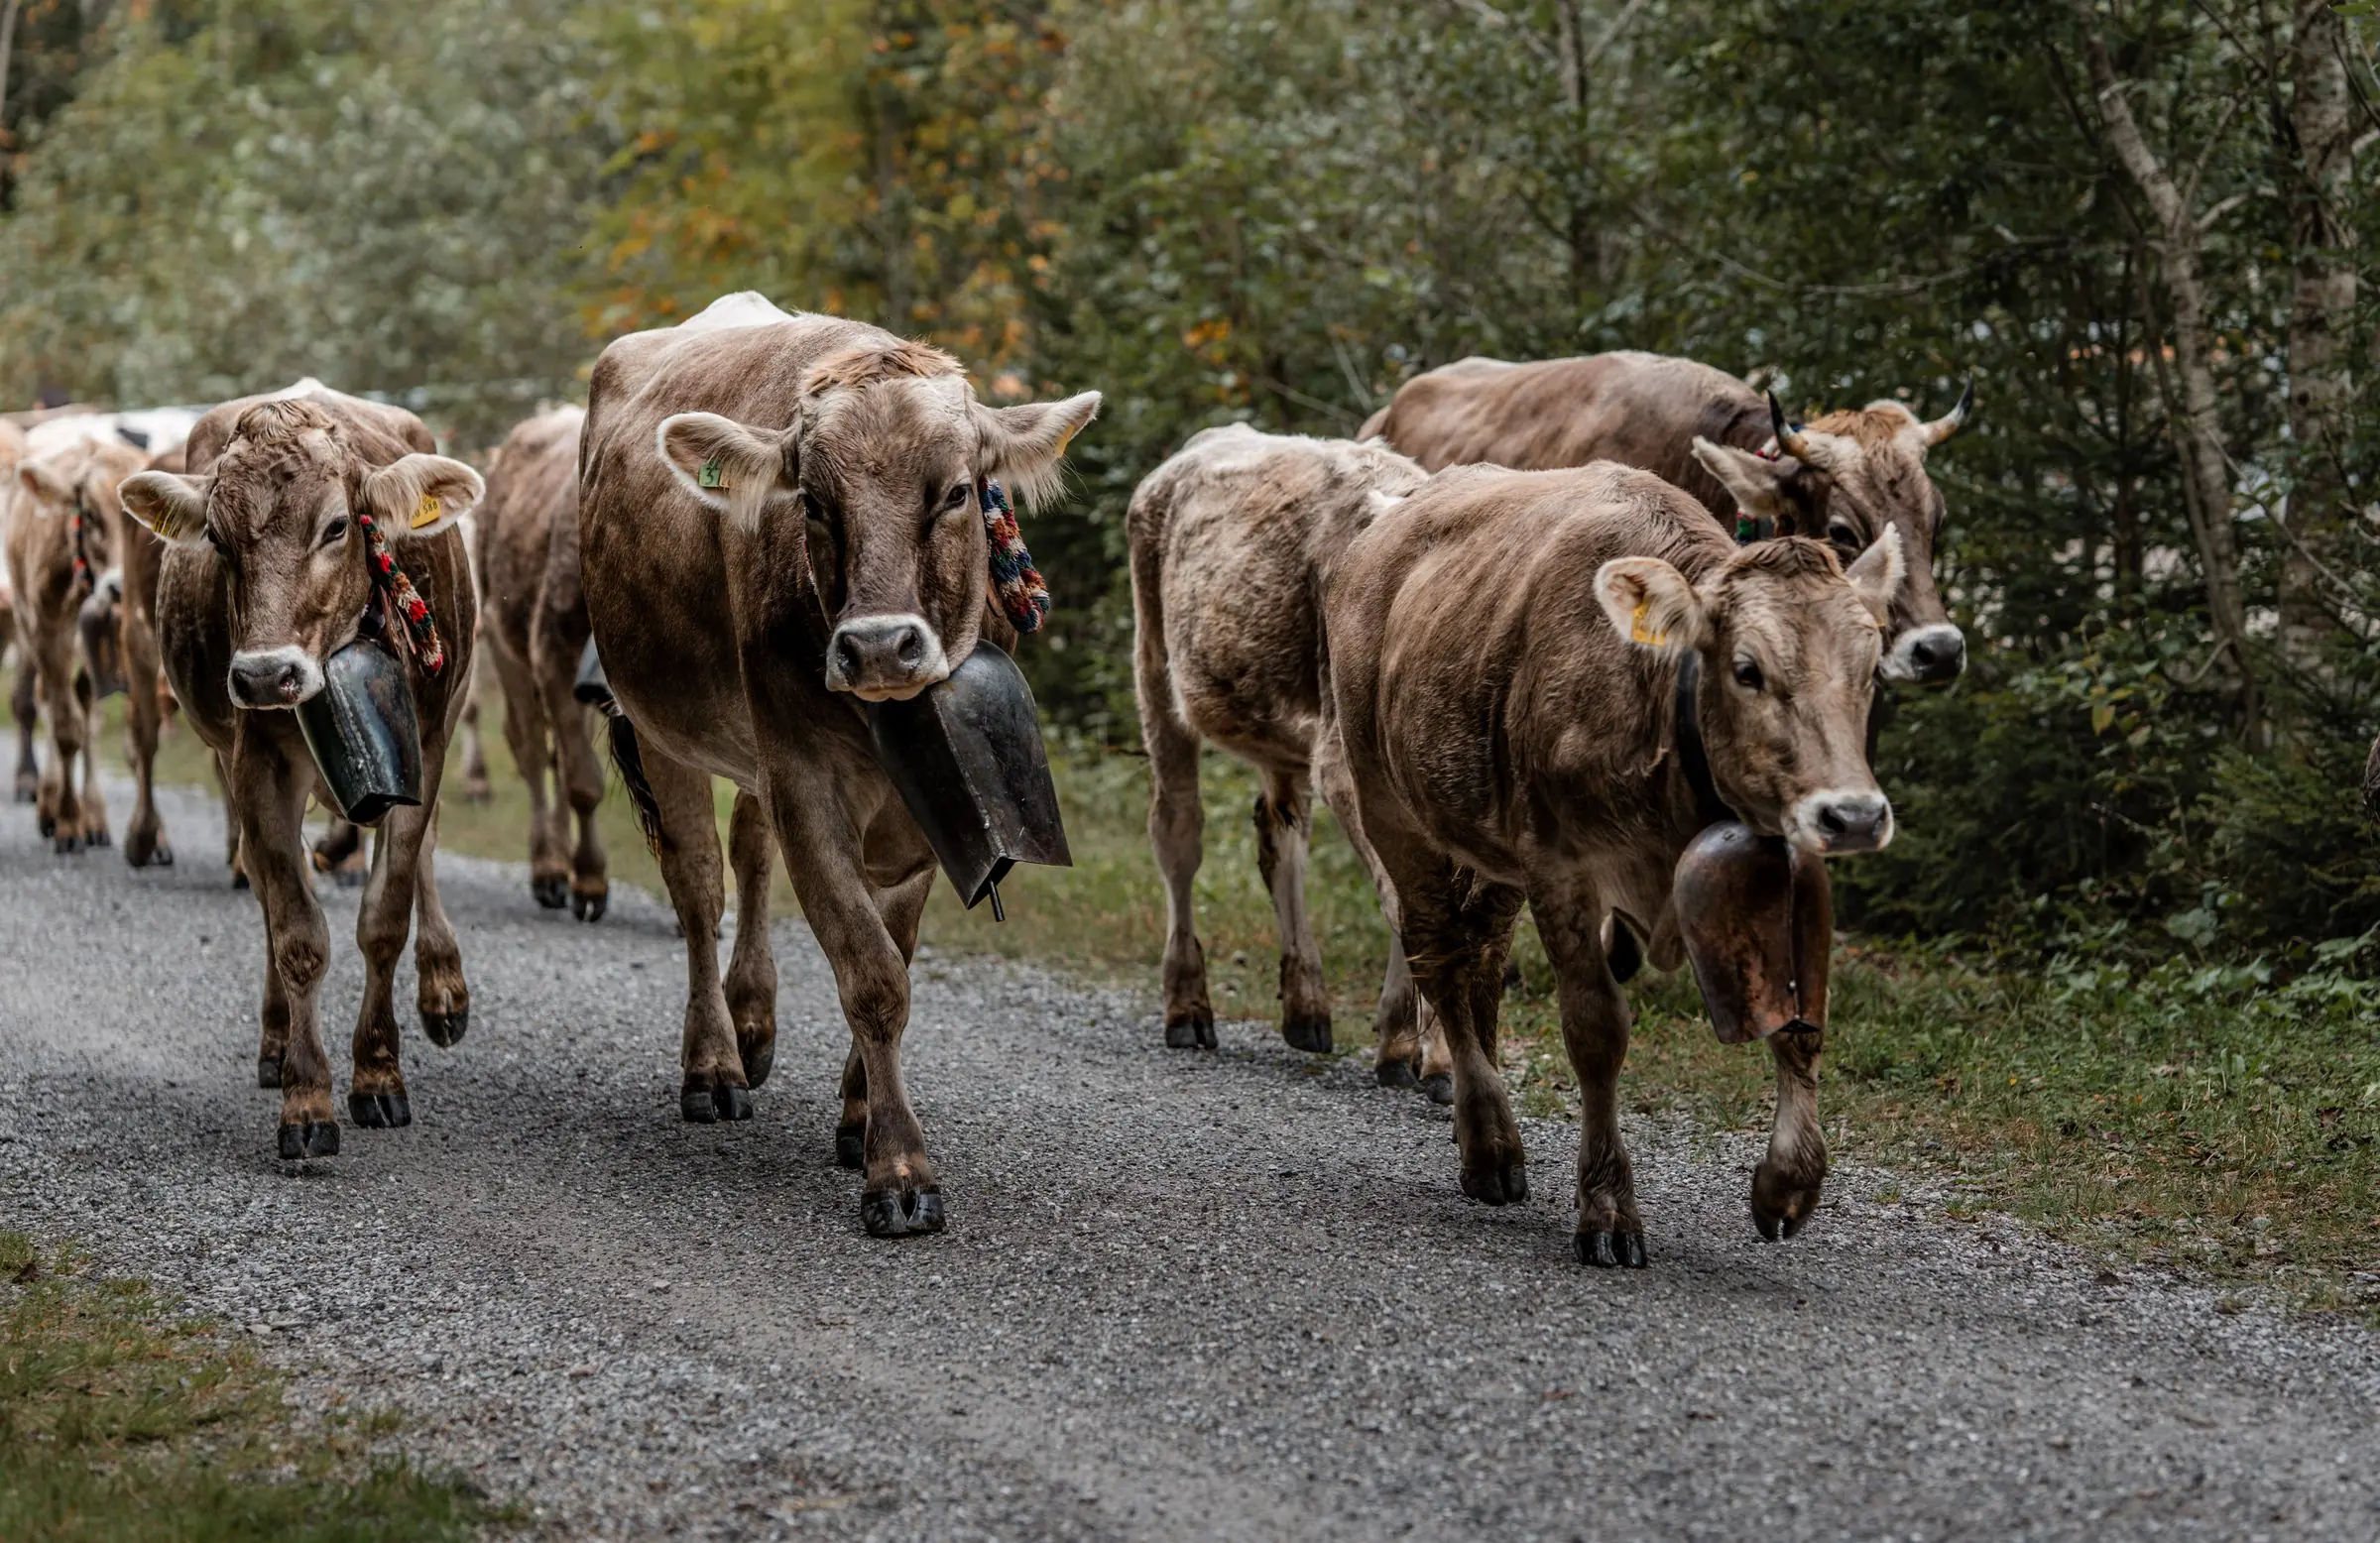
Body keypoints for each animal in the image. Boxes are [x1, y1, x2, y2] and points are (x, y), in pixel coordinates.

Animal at [119, 388, 480, 1159]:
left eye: (338, 526)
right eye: (217, 538)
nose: (264, 674)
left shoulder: (426, 744)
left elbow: (385, 914)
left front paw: (378, 1073)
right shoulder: (254, 761)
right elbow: (296, 931)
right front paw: (307, 1099)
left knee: (426, 856)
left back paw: (444, 990)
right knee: (263, 891)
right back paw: (276, 1040)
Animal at [472, 405, 607, 919]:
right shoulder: (554, 656)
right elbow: (584, 782)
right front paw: (589, 880)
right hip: (501, 639)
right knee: (532, 751)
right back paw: (549, 867)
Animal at [579, 291, 1098, 1237]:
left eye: (957, 492)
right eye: (814, 503)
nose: (879, 646)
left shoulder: (925, 815)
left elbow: (897, 949)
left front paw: (860, 1119)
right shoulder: (806, 778)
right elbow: (872, 974)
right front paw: (900, 1170)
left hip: (749, 754)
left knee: (749, 853)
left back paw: (752, 1022)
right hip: (664, 730)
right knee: (699, 886)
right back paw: (714, 1062)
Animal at [1128, 425, 1436, 1069]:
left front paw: (1411, 1043)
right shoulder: (1345, 765)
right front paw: (1430, 1052)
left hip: (1278, 729)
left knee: (1281, 841)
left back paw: (1306, 1005)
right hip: (1157, 672)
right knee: (1176, 834)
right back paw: (1187, 1006)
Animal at [1320, 461, 1903, 1264]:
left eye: (1870, 667)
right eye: (1747, 669)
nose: (1854, 815)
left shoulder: (1791, 855)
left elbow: (1802, 1020)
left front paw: (1787, 1183)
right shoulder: (1560, 867)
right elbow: (1595, 1030)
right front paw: (1606, 1208)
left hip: (1491, 845)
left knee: (1480, 962)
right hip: (1391, 807)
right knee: (1437, 954)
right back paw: (1490, 1143)